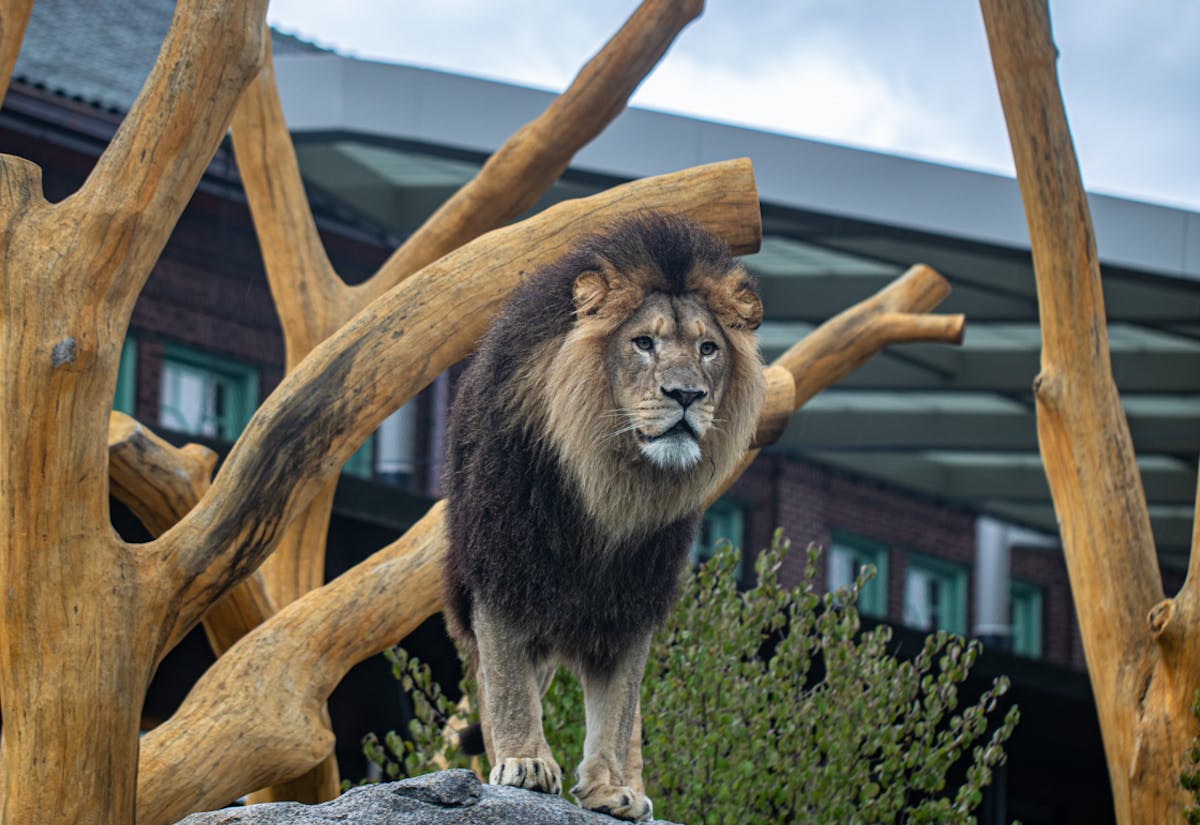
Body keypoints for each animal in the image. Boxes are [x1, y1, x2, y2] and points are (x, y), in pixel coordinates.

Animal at [444, 211, 768, 820]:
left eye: (708, 348)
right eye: (643, 343)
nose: (686, 394)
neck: (613, 482)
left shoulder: (635, 595)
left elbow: (618, 707)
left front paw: (611, 787)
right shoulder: (502, 566)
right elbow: (508, 685)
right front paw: (525, 763)